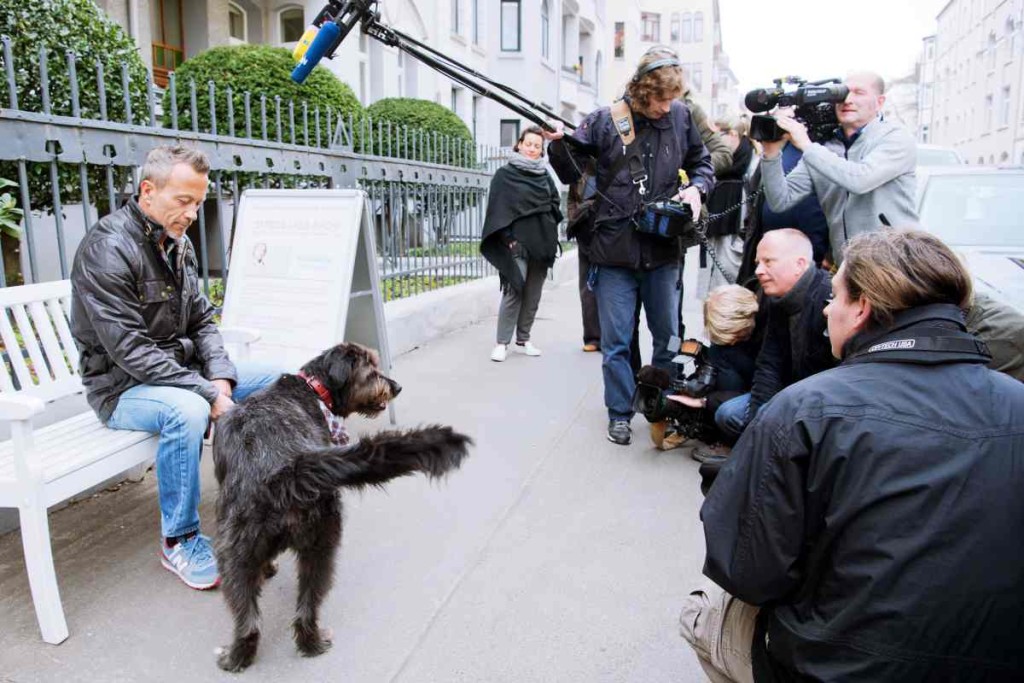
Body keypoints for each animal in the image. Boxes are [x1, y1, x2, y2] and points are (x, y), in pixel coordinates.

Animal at [212, 342, 475, 671]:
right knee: (293, 613)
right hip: (311, 546)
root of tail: (285, 470)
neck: (312, 388)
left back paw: (240, 657)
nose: (396, 387)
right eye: (370, 371)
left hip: (240, 552)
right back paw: (304, 644)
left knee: (254, 619)